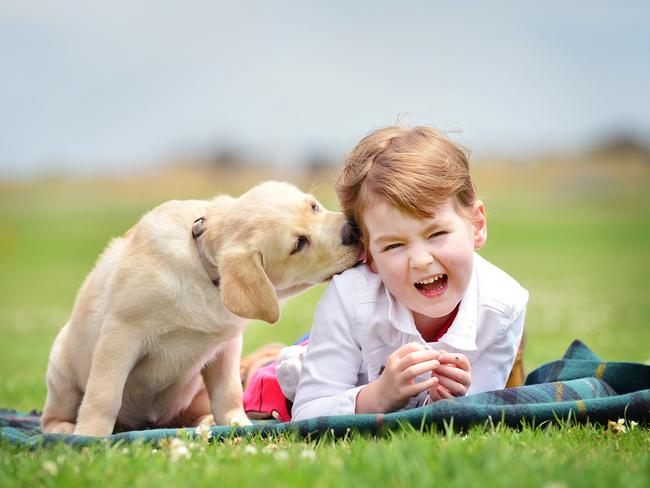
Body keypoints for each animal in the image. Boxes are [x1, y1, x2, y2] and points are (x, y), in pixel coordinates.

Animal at [41, 181, 360, 436]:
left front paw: (237, 425)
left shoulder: (226, 345)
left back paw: (204, 421)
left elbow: (229, 392)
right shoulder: (121, 335)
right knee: (52, 414)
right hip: (61, 370)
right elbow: (104, 394)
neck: (204, 276)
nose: (352, 231)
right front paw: (90, 437)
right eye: (298, 244)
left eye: (314, 206)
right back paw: (63, 428)